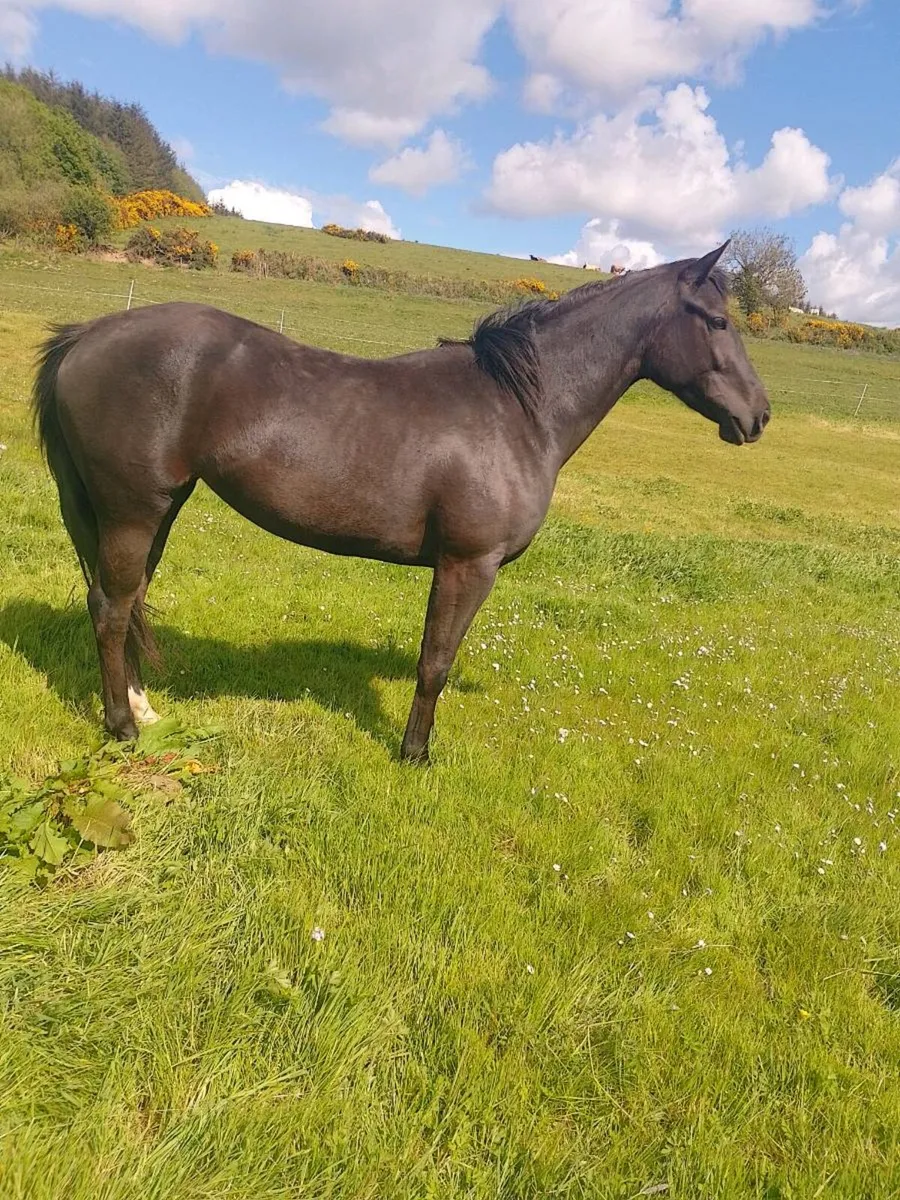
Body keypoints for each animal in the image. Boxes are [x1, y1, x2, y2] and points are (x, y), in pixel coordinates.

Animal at [32, 241, 770, 764]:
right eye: (717, 320)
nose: (758, 416)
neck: (516, 408)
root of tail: (85, 336)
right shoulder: (468, 565)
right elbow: (435, 662)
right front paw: (416, 754)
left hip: (155, 510)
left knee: (127, 602)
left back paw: (143, 709)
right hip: (132, 510)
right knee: (111, 609)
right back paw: (122, 729)